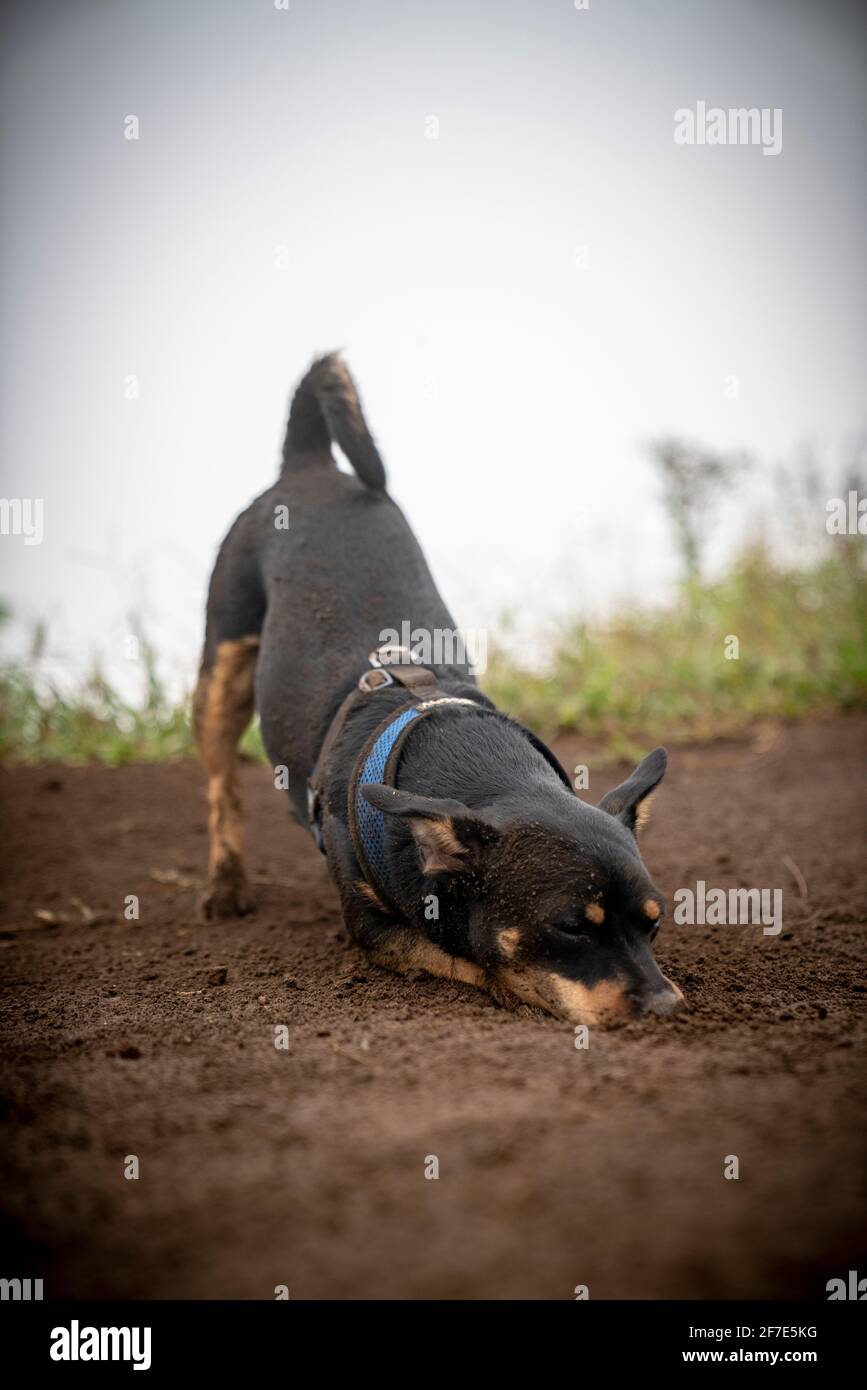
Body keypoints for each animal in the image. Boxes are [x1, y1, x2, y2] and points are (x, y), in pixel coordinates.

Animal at [194, 355, 683, 1034]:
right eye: (570, 928)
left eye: (654, 923)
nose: (665, 1007)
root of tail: (309, 464)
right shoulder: (374, 929)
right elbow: (468, 958)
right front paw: (515, 985)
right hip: (224, 663)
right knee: (220, 785)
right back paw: (226, 885)